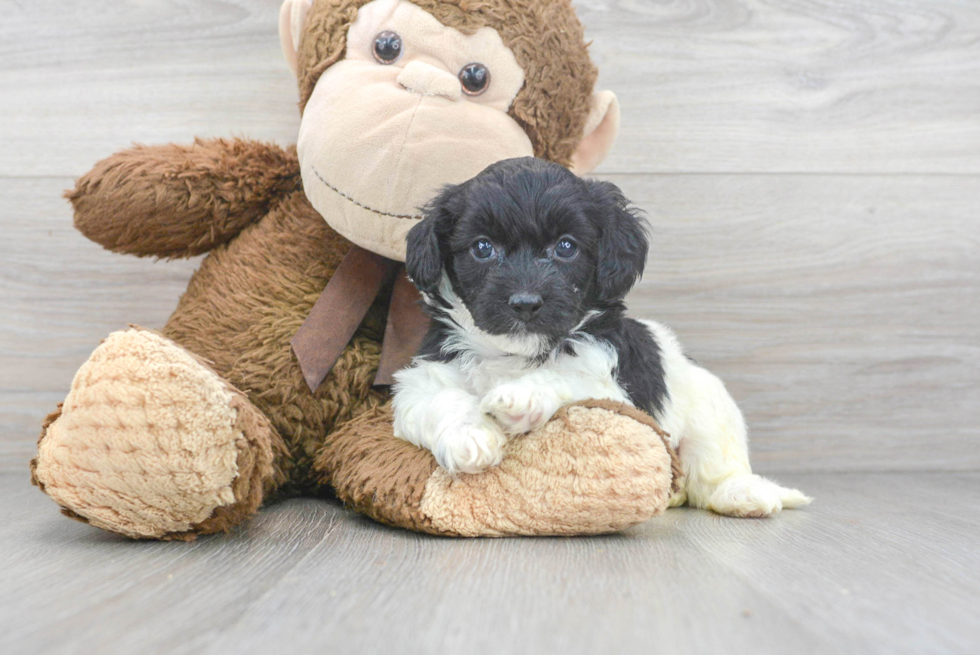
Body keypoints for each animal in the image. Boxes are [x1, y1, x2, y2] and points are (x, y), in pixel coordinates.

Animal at [390, 156, 812, 516]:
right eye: (482, 248)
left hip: (712, 413)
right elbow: (441, 398)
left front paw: (521, 397)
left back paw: (743, 494)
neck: (516, 355)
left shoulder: (611, 392)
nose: (526, 302)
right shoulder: (420, 383)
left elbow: (565, 377)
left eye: (565, 247)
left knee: (714, 470)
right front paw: (470, 437)